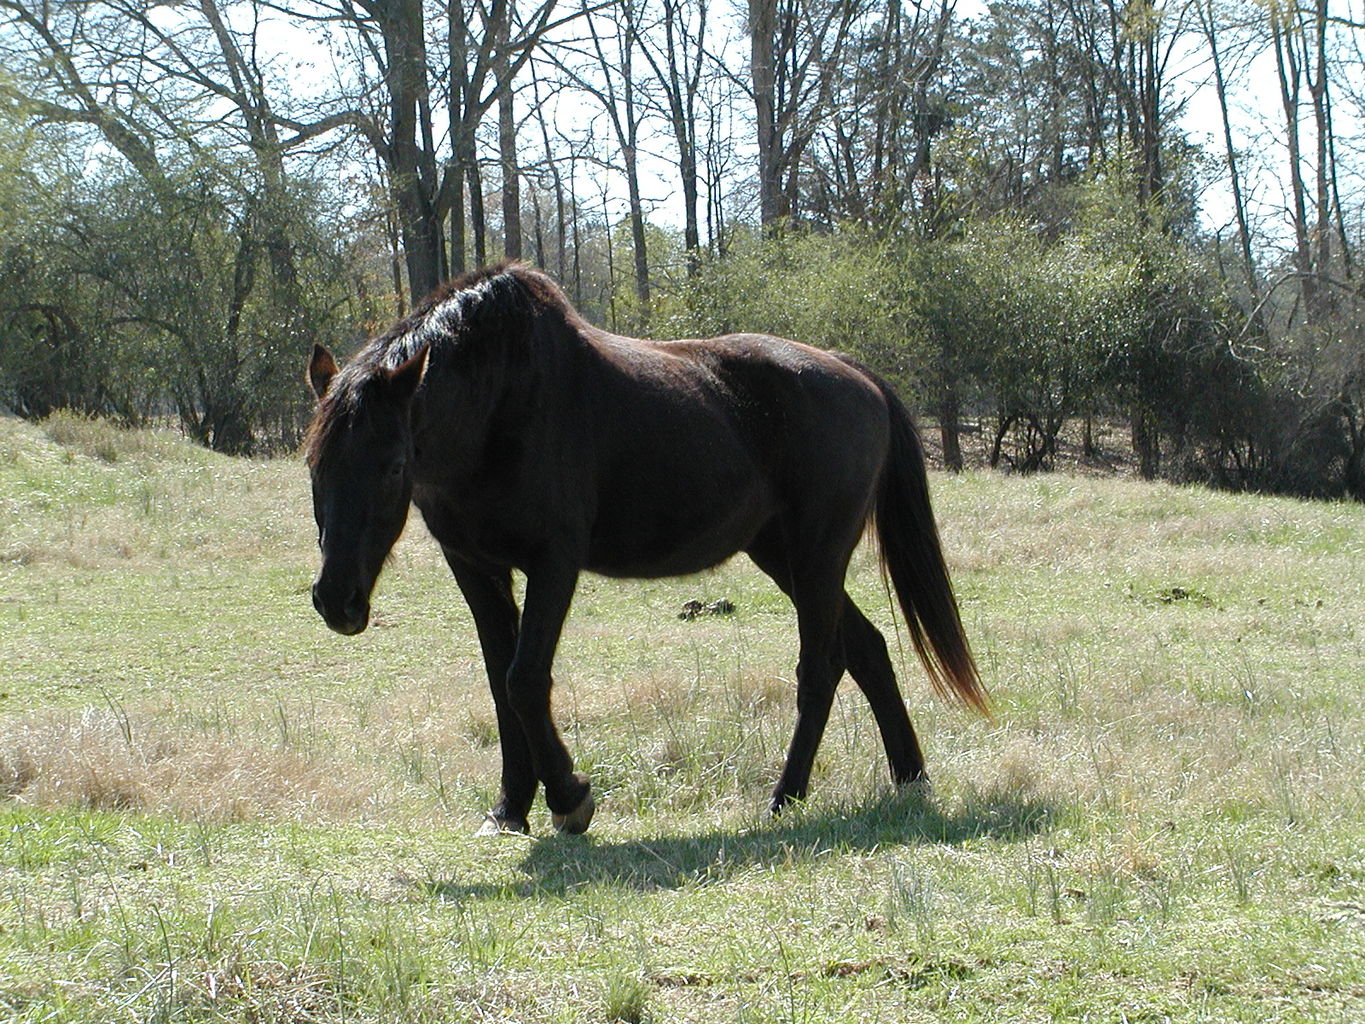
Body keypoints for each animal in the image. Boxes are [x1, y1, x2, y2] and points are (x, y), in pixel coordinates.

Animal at [307, 260, 993, 835]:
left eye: (394, 466)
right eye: (315, 464)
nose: (337, 602)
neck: (498, 404)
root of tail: (857, 374)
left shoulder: (554, 562)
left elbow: (525, 679)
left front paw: (570, 798)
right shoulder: (476, 567)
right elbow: (501, 686)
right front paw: (509, 810)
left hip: (817, 555)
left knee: (822, 667)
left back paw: (785, 798)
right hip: (784, 557)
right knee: (868, 650)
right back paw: (910, 778)